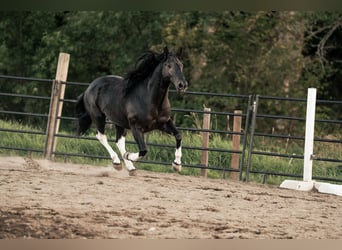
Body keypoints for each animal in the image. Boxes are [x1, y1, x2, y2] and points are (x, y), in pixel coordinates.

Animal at [75, 47, 187, 176]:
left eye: (181, 65)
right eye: (168, 65)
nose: (182, 85)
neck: (150, 99)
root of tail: (90, 87)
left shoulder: (164, 123)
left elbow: (178, 135)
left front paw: (177, 165)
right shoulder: (136, 127)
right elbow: (143, 150)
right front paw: (129, 155)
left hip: (118, 121)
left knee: (119, 141)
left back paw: (130, 167)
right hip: (98, 117)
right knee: (101, 136)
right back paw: (117, 162)